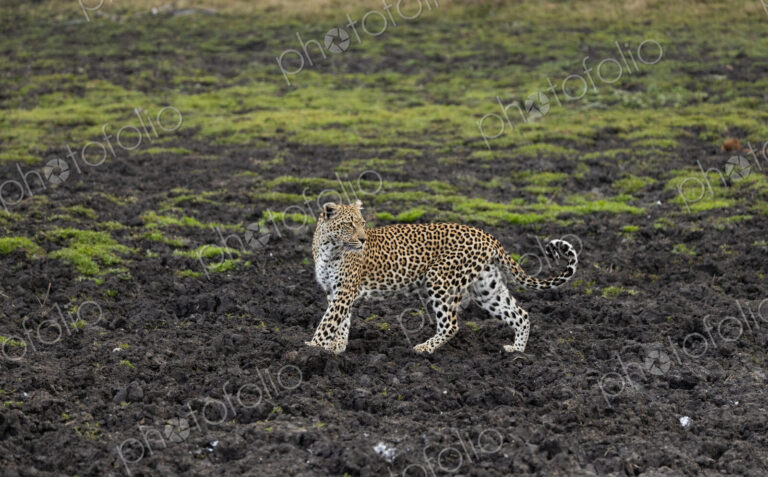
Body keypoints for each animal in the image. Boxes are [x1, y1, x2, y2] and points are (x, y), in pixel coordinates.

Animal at [305, 200, 578, 356]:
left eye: (362, 223)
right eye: (349, 224)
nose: (362, 239)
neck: (329, 247)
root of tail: (486, 234)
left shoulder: (345, 290)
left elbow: (328, 322)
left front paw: (311, 349)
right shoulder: (335, 291)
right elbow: (340, 322)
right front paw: (336, 347)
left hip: (440, 280)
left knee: (451, 324)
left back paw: (424, 348)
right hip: (486, 288)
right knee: (520, 314)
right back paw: (517, 352)